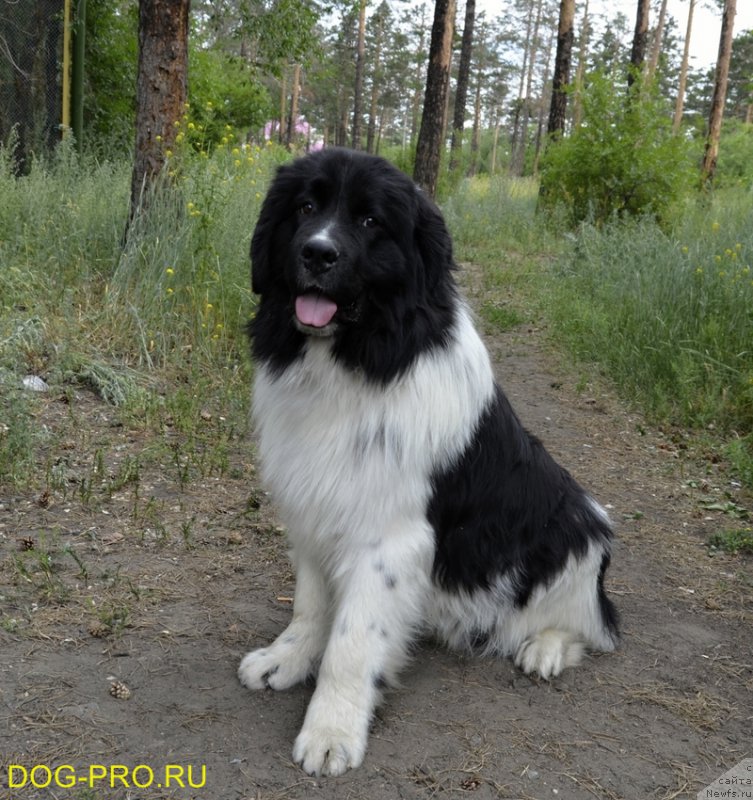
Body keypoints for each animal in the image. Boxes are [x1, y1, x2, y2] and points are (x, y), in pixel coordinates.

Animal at [236, 148, 616, 776]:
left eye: (370, 221)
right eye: (306, 208)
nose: (317, 252)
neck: (353, 360)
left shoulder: (387, 537)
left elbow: (351, 642)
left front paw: (332, 730)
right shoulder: (316, 505)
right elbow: (312, 607)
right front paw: (285, 660)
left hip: (575, 527)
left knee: (592, 622)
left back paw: (545, 647)